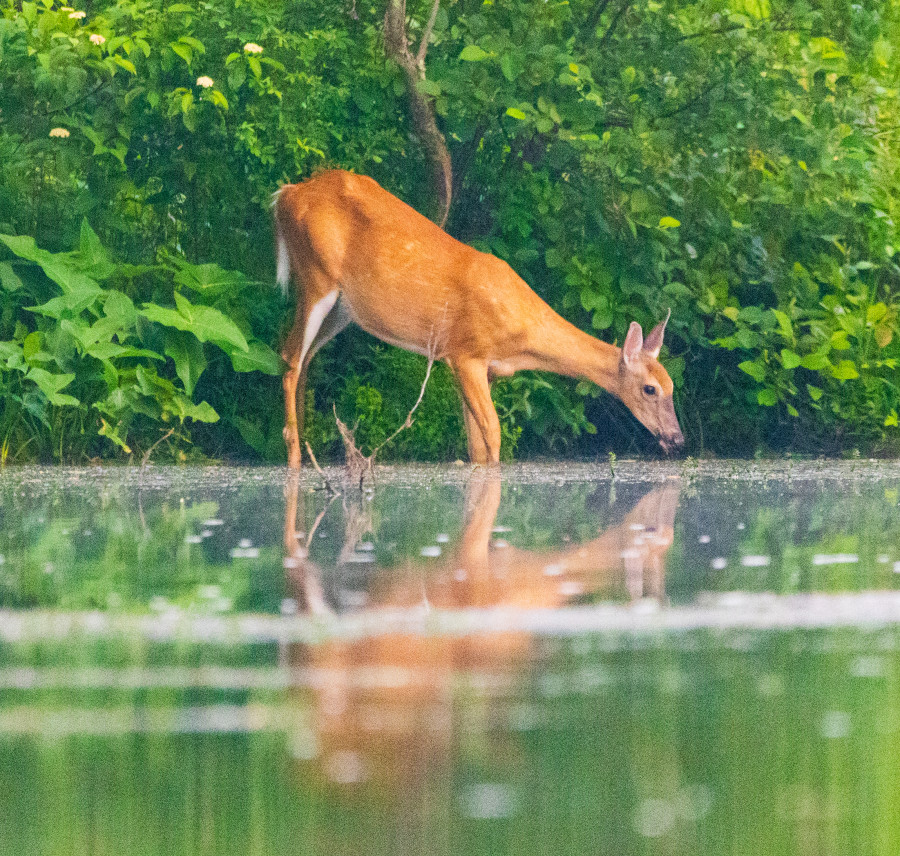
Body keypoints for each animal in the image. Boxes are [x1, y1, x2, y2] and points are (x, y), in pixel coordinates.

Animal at [274, 169, 684, 468]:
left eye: (672, 387)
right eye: (650, 389)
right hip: (316, 278)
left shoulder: (481, 369)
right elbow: (494, 433)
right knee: (289, 357)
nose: (678, 438)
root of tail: (286, 194)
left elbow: (476, 444)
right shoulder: (466, 354)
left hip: (343, 309)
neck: (521, 337)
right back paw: (294, 457)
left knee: (304, 360)